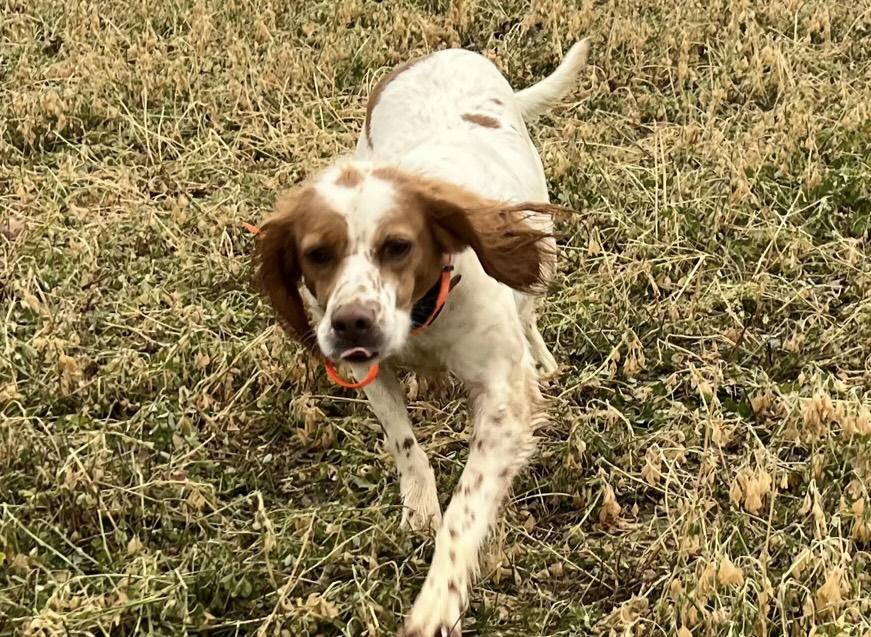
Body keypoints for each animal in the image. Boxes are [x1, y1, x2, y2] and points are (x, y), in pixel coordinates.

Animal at [255, 39, 589, 636]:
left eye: (397, 246)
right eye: (317, 254)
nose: (351, 323)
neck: (422, 316)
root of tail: (442, 53)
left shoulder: (503, 398)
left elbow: (466, 508)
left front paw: (439, 598)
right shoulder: (371, 374)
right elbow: (404, 444)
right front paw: (418, 508)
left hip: (541, 251)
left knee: (530, 312)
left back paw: (543, 357)